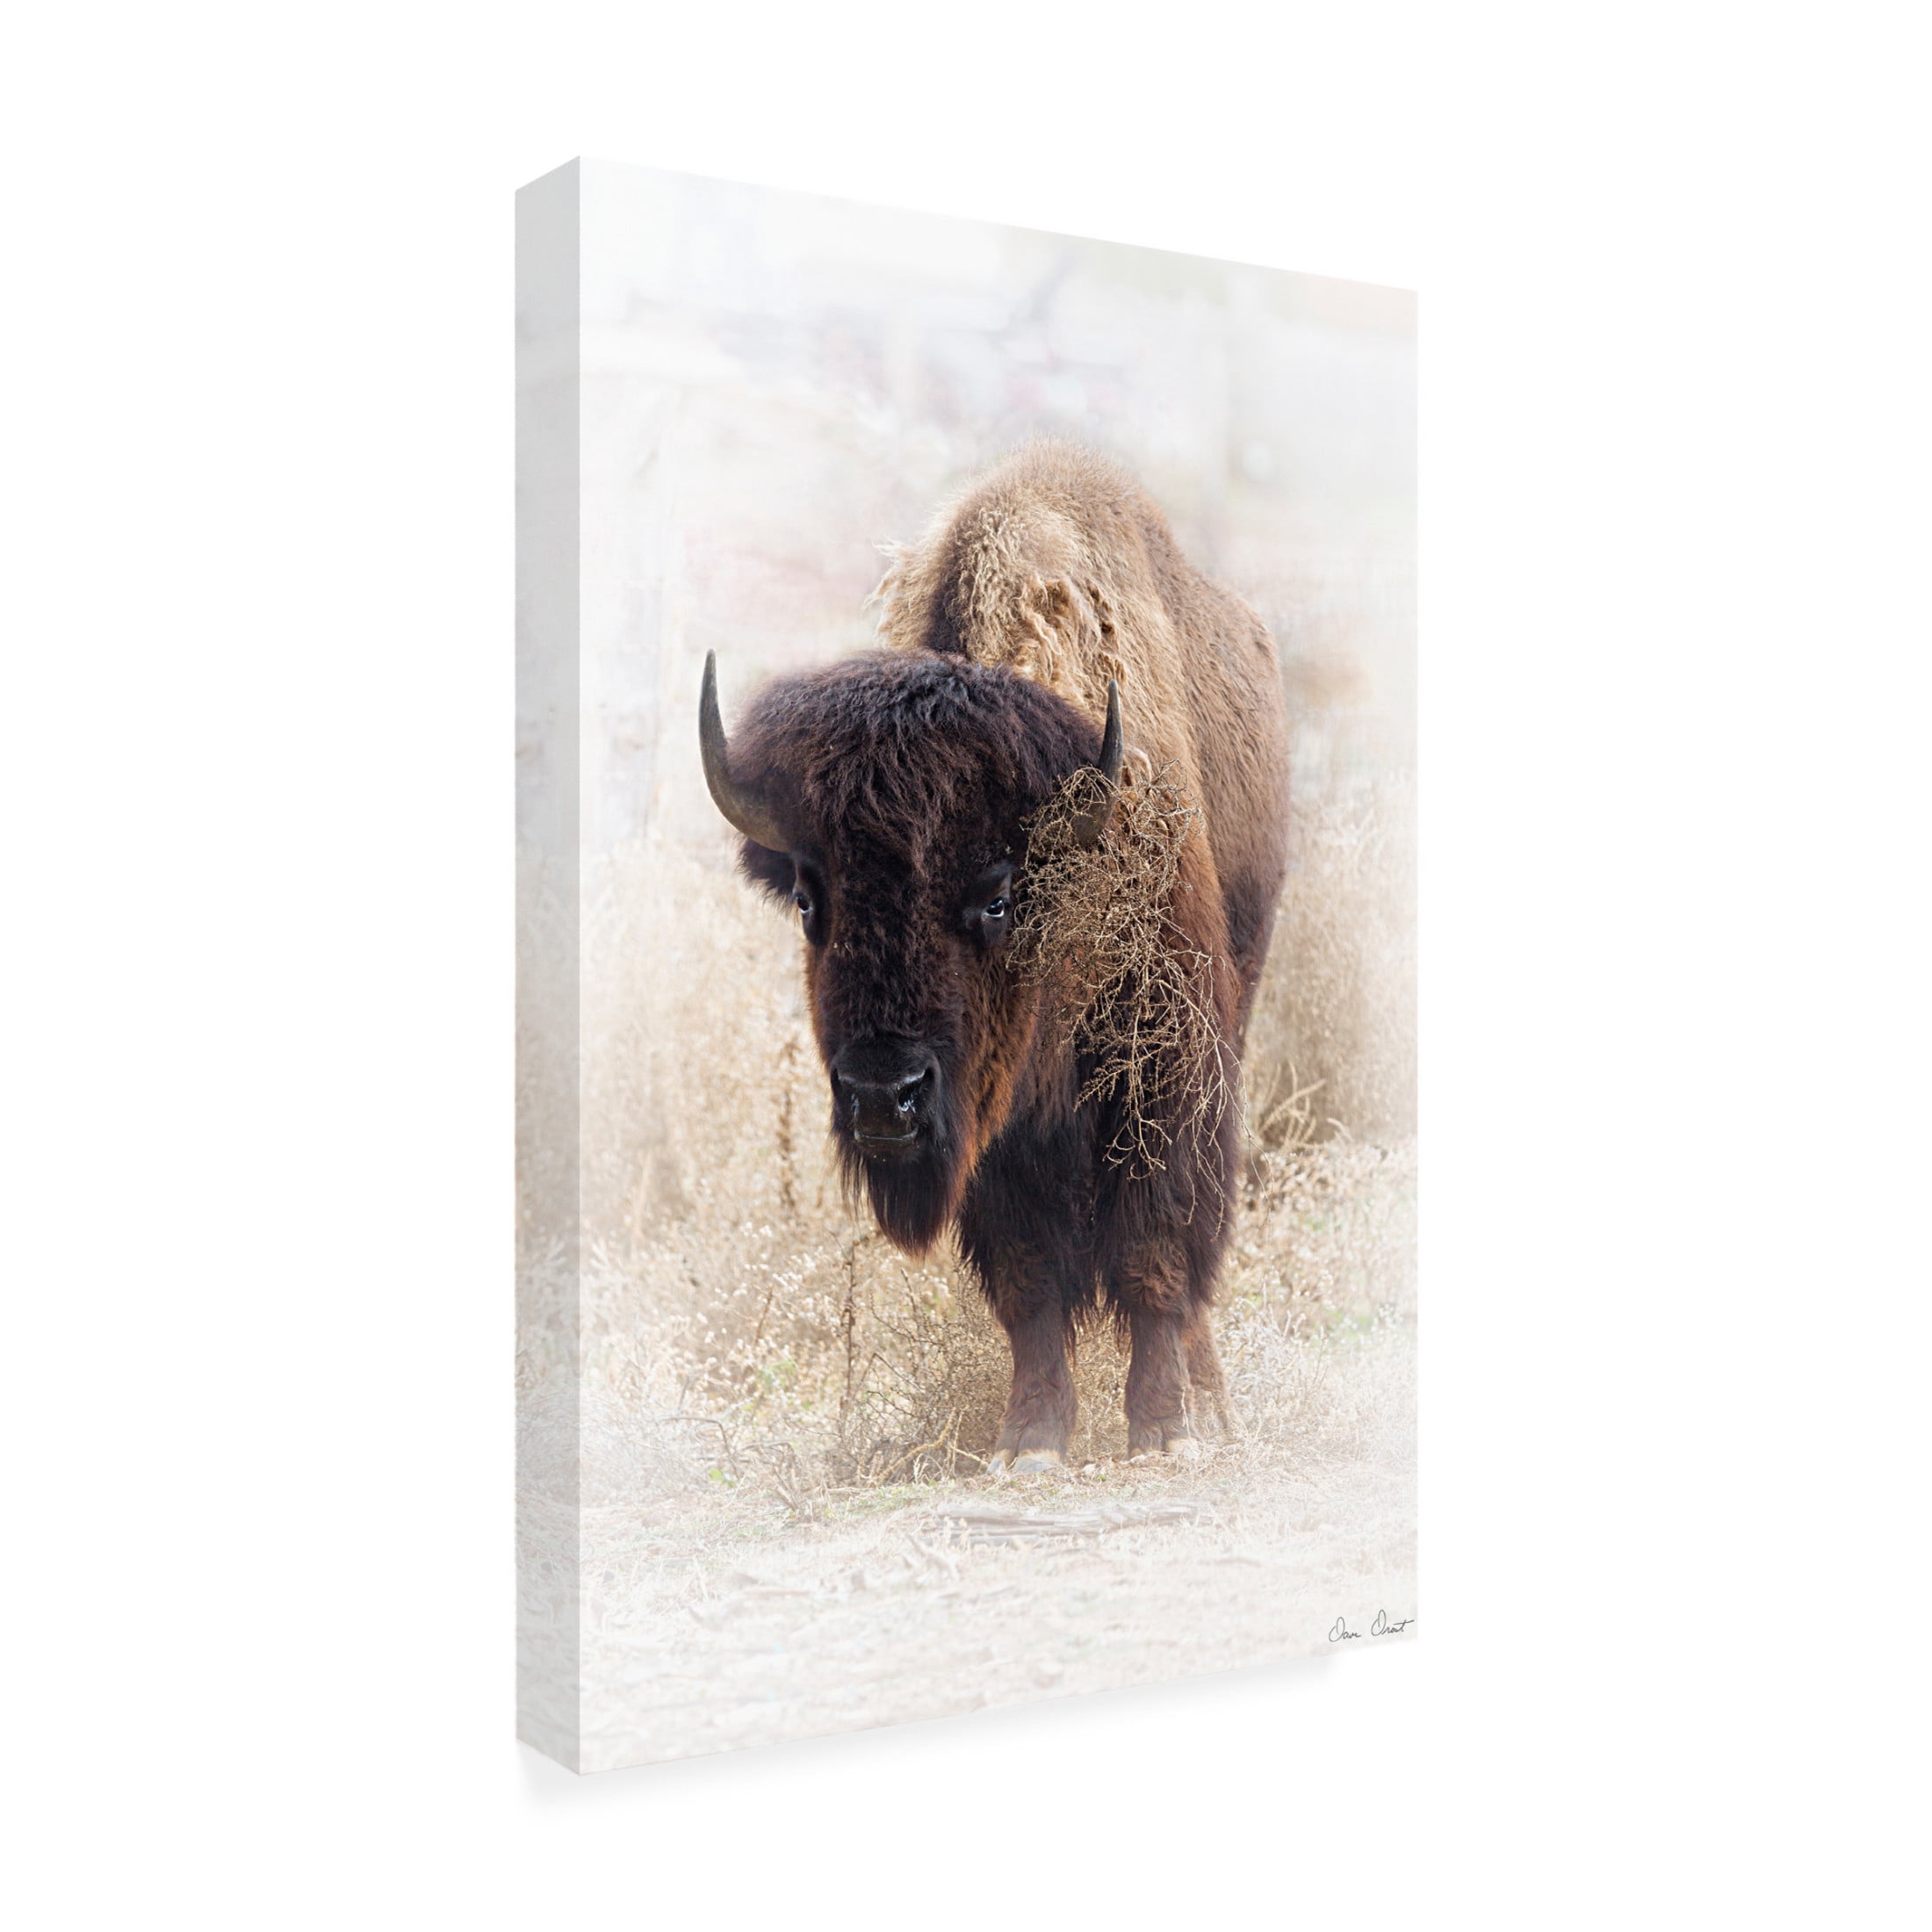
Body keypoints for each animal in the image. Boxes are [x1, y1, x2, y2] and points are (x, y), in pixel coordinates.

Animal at [699, 443, 1290, 1471]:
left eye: (997, 895)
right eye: (811, 899)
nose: (882, 1095)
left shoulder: (1165, 1075)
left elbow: (1156, 1250)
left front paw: (1162, 1430)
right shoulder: (994, 1132)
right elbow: (1028, 1280)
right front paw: (1032, 1438)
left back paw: (1211, 1407)